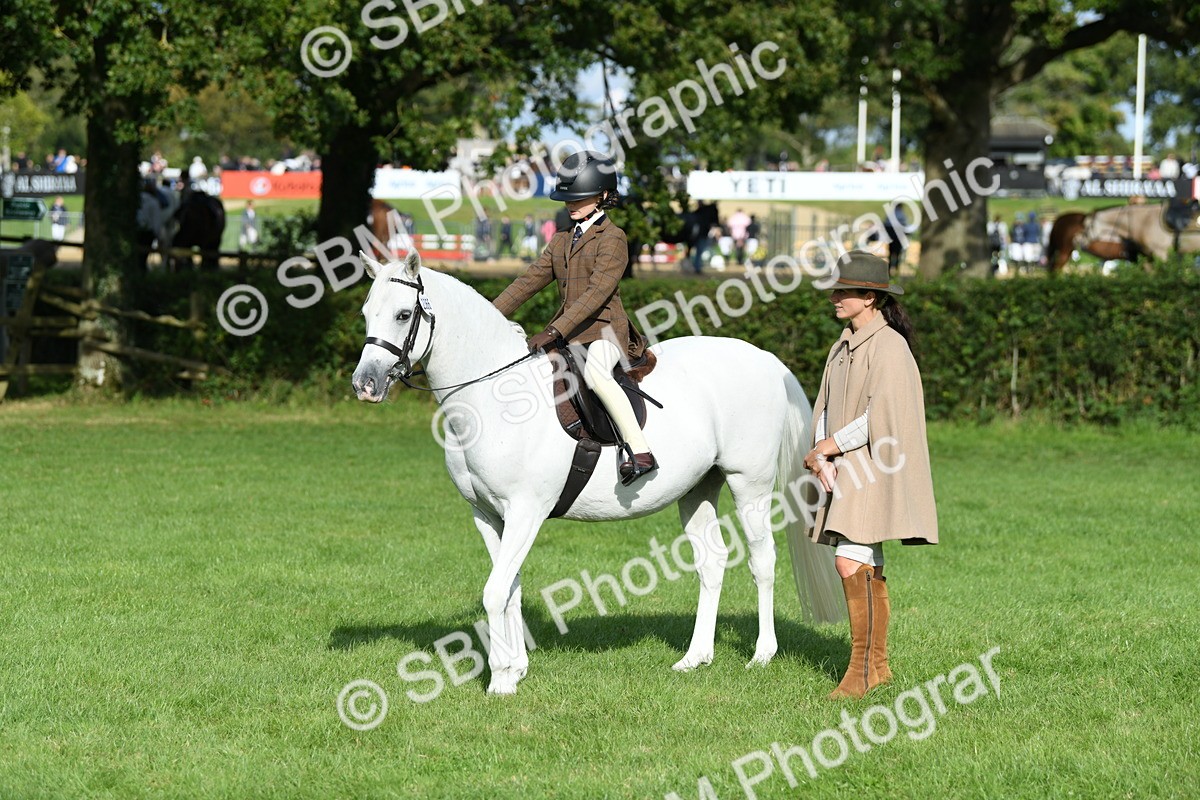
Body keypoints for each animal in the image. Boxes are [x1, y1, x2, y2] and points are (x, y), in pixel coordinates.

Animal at [350, 250, 844, 695]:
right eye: (366, 313)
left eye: (402, 314)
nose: (364, 385)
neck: (493, 395)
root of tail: (766, 359)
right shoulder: (488, 515)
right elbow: (509, 589)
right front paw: (516, 669)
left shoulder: (525, 512)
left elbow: (495, 591)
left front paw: (501, 681)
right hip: (698, 488)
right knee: (712, 562)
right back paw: (695, 657)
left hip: (749, 485)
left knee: (762, 560)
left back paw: (762, 655)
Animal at [1046, 200, 1200, 273]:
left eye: (1088, 227)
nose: (1078, 239)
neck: (1145, 222)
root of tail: (1060, 220)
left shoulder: (1156, 256)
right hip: (1064, 252)